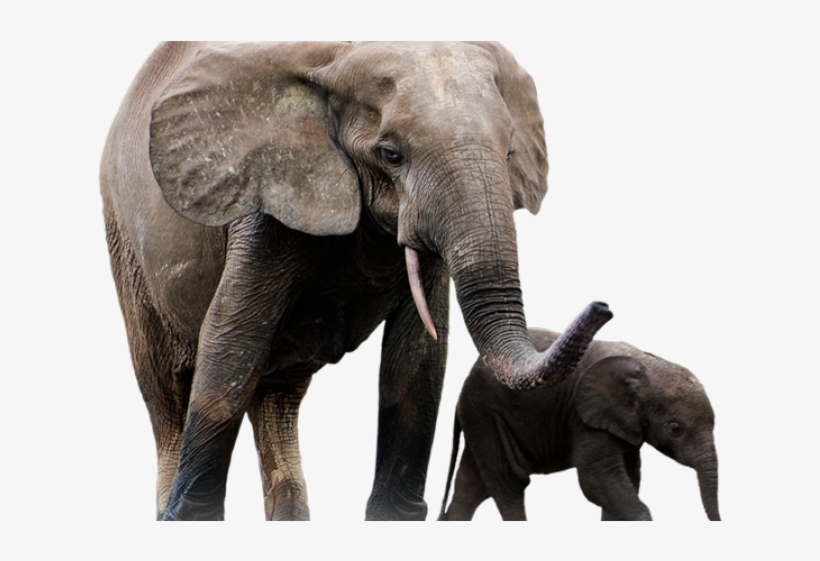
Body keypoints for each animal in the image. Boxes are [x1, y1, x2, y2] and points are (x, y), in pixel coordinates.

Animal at [100, 41, 614, 521]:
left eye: (509, 152)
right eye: (391, 154)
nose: (604, 307)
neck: (335, 63)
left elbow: (418, 358)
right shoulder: (267, 195)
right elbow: (231, 342)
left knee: (276, 396)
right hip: (123, 239)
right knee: (167, 394)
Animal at [438, 328, 720, 521]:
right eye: (675, 429)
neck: (646, 363)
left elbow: (628, 478)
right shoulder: (586, 417)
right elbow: (596, 480)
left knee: (471, 487)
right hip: (485, 413)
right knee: (509, 482)